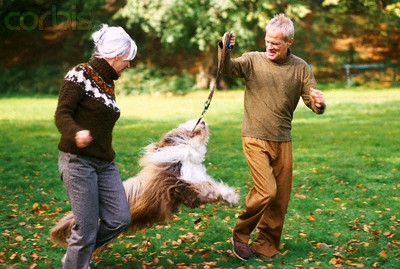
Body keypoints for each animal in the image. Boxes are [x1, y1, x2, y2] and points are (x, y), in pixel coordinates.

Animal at [49, 119, 238, 253]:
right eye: (188, 125)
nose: (203, 121)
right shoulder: (180, 184)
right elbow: (206, 189)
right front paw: (231, 196)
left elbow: (211, 187)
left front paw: (230, 196)